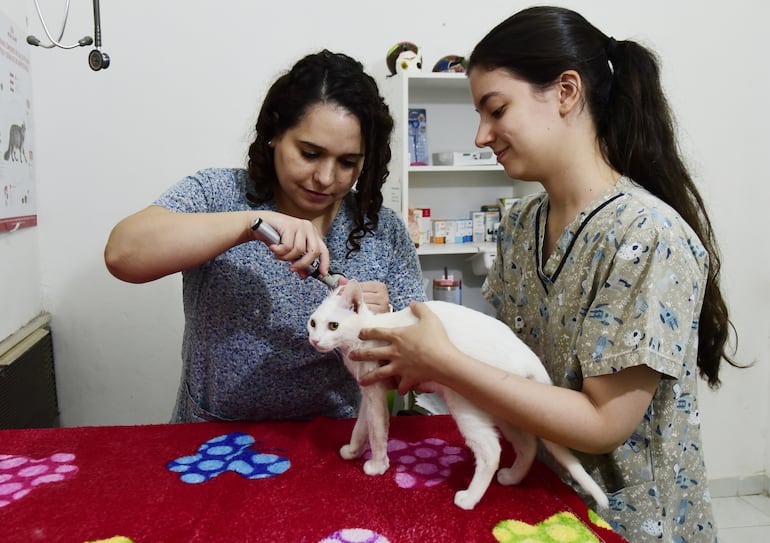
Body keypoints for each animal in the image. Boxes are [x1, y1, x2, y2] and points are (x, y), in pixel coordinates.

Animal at [306, 282, 608, 512]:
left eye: (333, 326)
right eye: (312, 323)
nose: (315, 341)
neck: (361, 335)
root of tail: (527, 355)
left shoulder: (377, 391)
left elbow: (378, 432)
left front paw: (378, 466)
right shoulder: (368, 392)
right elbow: (361, 427)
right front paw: (352, 450)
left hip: (465, 403)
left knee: (491, 451)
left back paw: (470, 498)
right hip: (505, 405)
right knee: (527, 445)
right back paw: (512, 477)